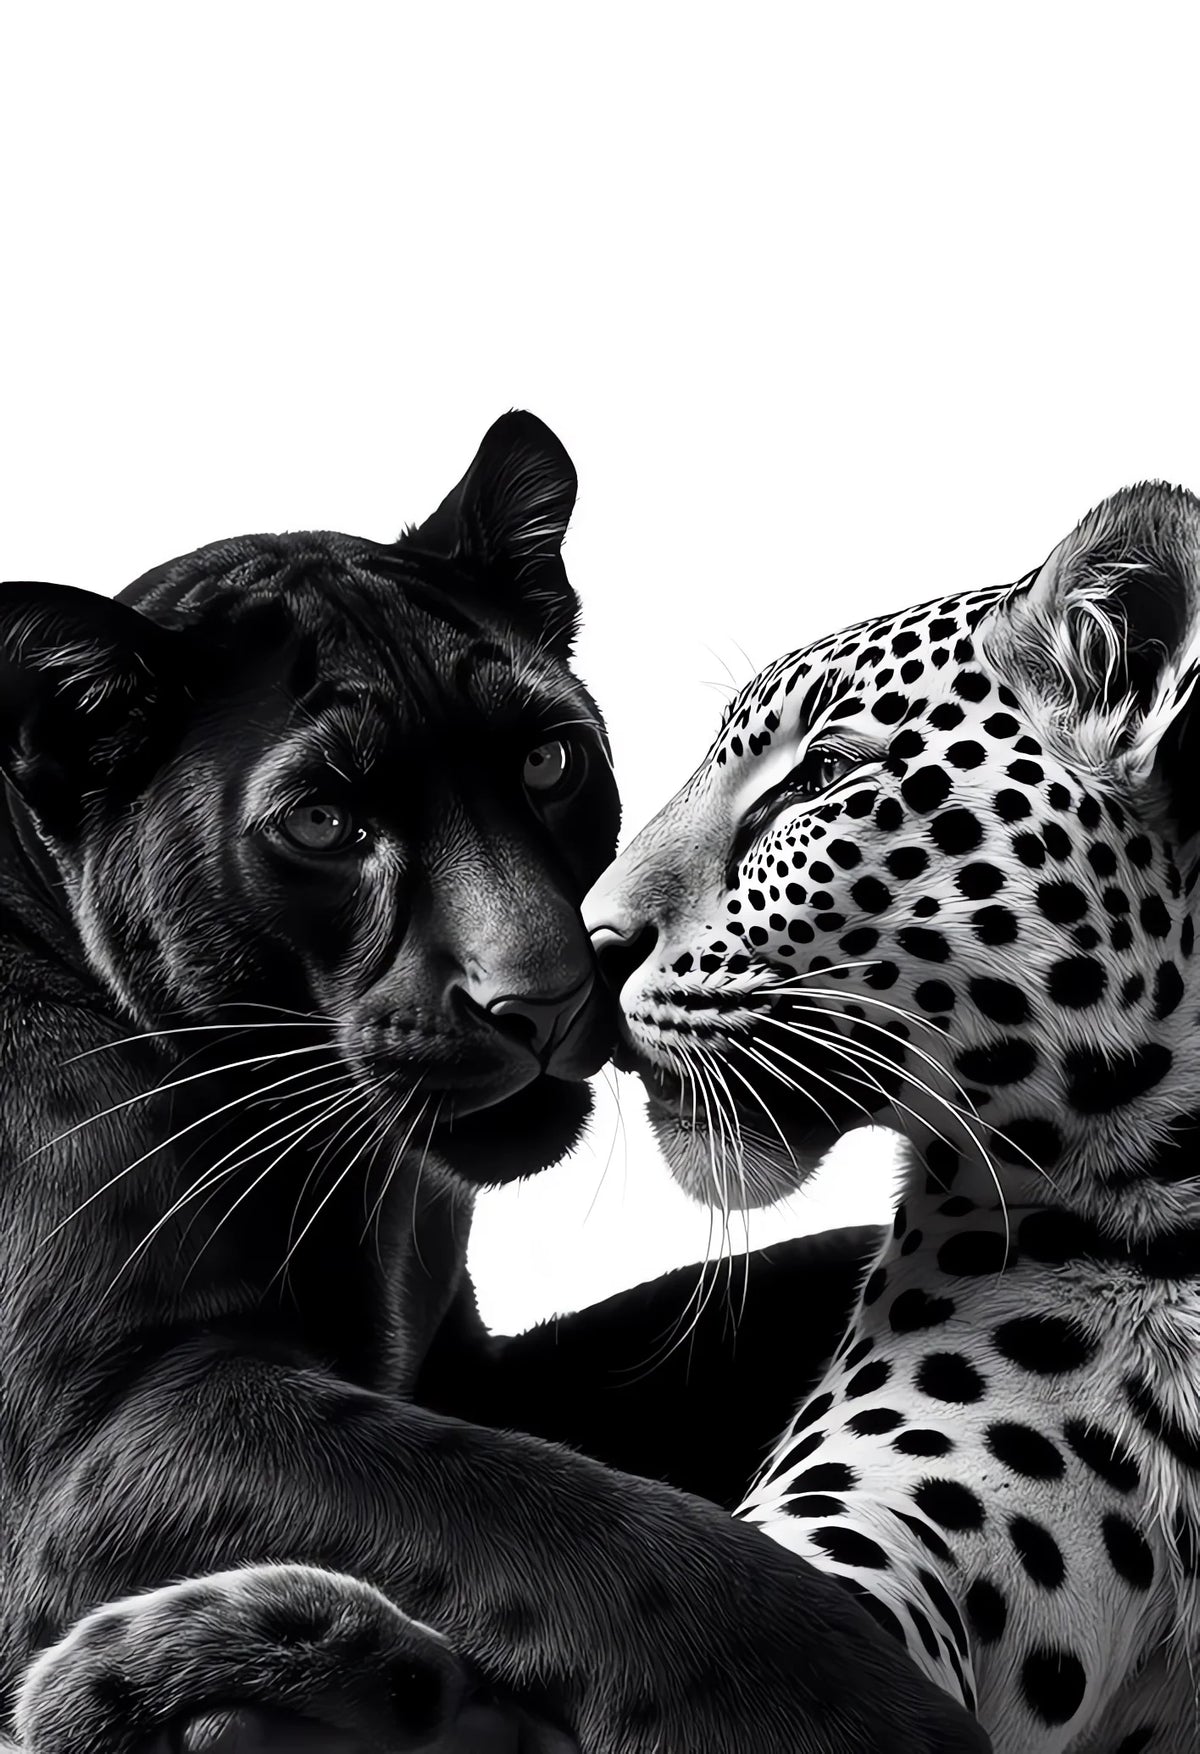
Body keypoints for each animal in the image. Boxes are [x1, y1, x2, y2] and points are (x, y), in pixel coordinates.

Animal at [0, 411, 983, 1754]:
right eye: (320, 821)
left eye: (550, 757)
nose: (551, 990)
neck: (367, 1199)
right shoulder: (117, 1417)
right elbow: (565, 1523)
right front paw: (859, 1714)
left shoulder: (475, 1364)